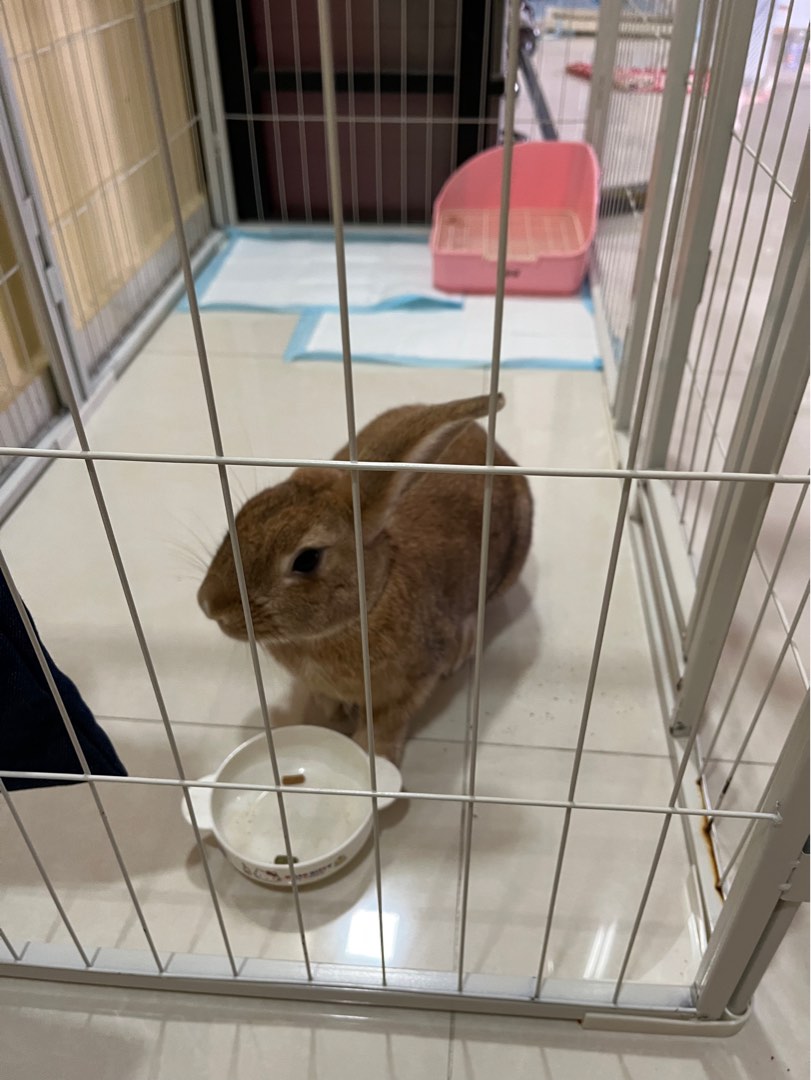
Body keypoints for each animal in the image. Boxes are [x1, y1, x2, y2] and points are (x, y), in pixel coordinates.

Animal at [197, 393, 532, 765]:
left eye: (307, 560)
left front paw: (376, 756)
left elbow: (388, 722)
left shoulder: (411, 684)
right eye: (241, 516)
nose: (209, 605)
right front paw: (327, 720)